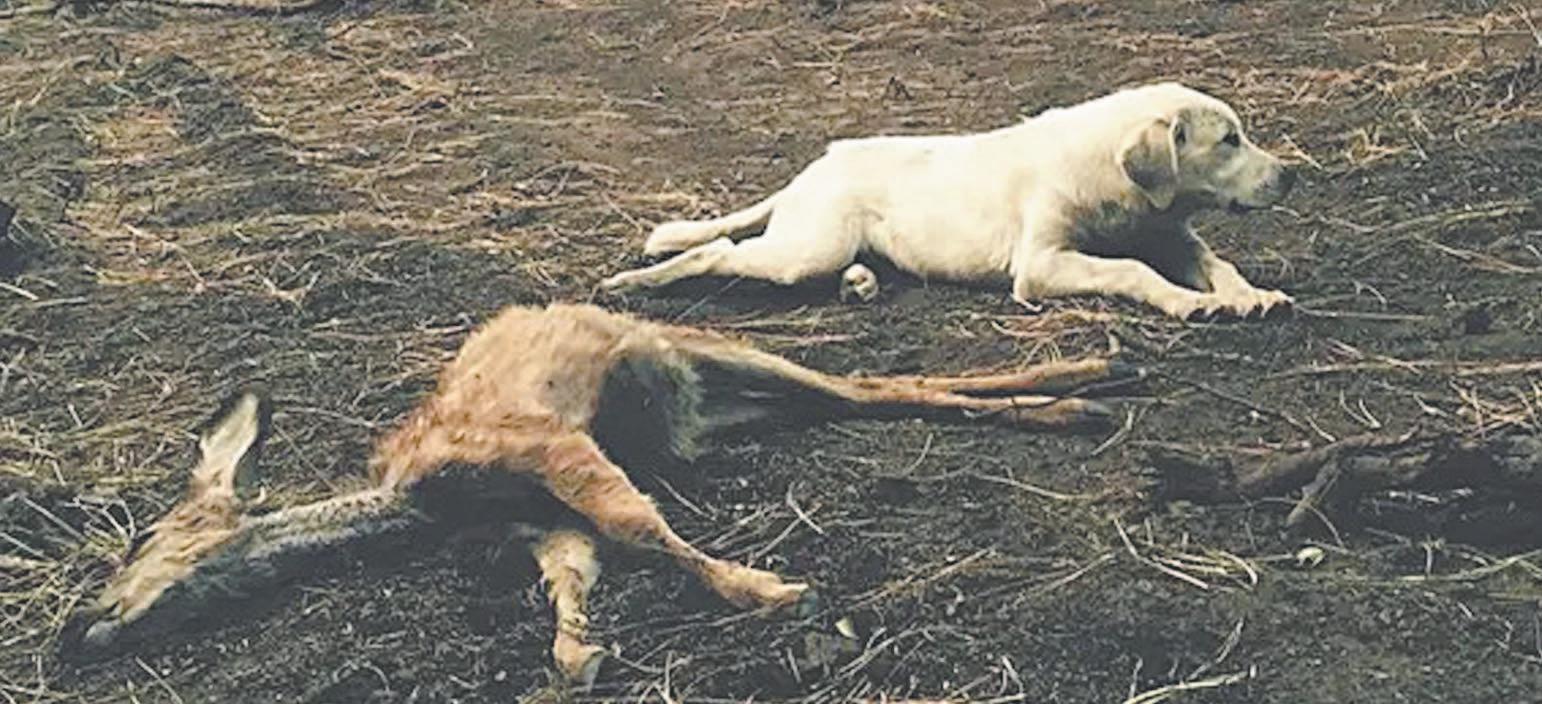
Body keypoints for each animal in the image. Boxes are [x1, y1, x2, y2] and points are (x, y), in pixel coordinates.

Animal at [62, 302, 1138, 688]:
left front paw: (775, 592)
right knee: (868, 394)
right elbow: (575, 577)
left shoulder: (548, 446)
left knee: (872, 383)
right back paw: (1089, 390)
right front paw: (582, 655)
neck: (430, 503)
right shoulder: (539, 517)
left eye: (142, 538)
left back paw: (1096, 380)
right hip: (718, 411)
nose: (75, 629)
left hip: (713, 354)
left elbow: (638, 527)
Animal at [601, 82, 1297, 320]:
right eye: (1229, 140)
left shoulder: (1172, 235)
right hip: (805, 249)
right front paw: (1188, 302)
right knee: (718, 248)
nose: (1290, 177)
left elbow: (1219, 263)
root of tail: (814, 170)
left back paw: (861, 283)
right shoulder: (1041, 265)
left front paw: (1252, 295)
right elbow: (1131, 269)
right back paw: (637, 281)